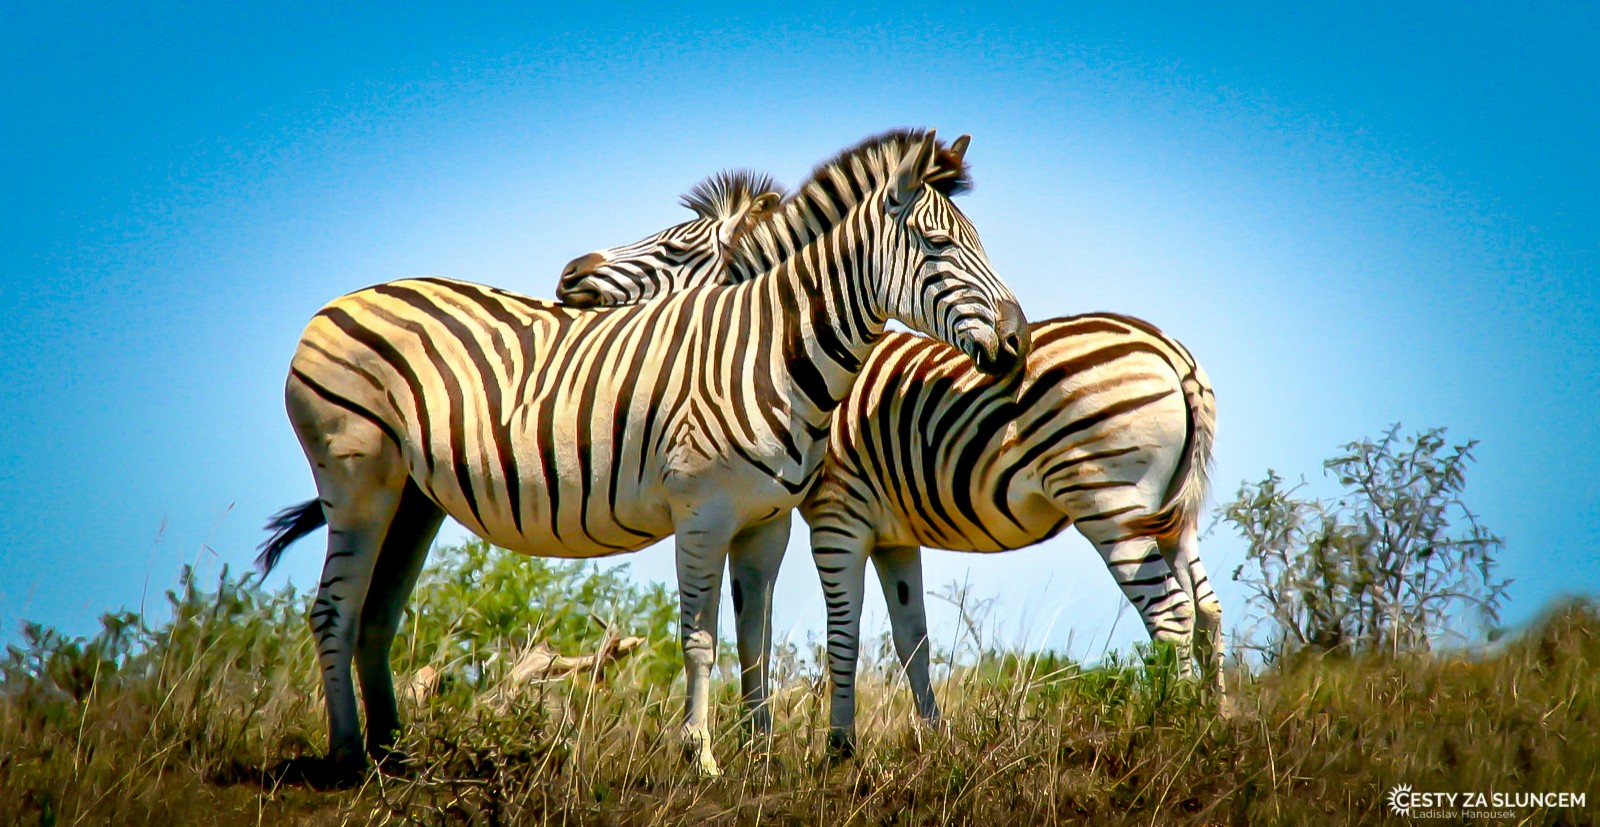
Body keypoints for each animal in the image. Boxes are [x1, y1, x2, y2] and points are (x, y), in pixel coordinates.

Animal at [257, 129, 1030, 782]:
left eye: (967, 242)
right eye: (936, 243)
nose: (1019, 341)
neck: (771, 353)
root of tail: (341, 300)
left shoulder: (767, 521)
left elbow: (755, 637)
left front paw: (762, 758)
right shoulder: (701, 512)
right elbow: (701, 639)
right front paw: (702, 758)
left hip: (414, 497)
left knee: (376, 613)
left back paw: (396, 758)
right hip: (358, 478)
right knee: (332, 610)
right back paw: (349, 758)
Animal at [557, 194, 1222, 758]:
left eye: (673, 249)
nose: (570, 274)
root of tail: (1173, 354)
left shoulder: (837, 516)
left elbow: (843, 637)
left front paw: (838, 750)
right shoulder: (895, 535)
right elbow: (913, 641)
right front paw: (936, 743)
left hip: (1109, 504)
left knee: (1171, 616)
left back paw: (1171, 730)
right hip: (1173, 513)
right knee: (1207, 609)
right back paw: (1212, 724)